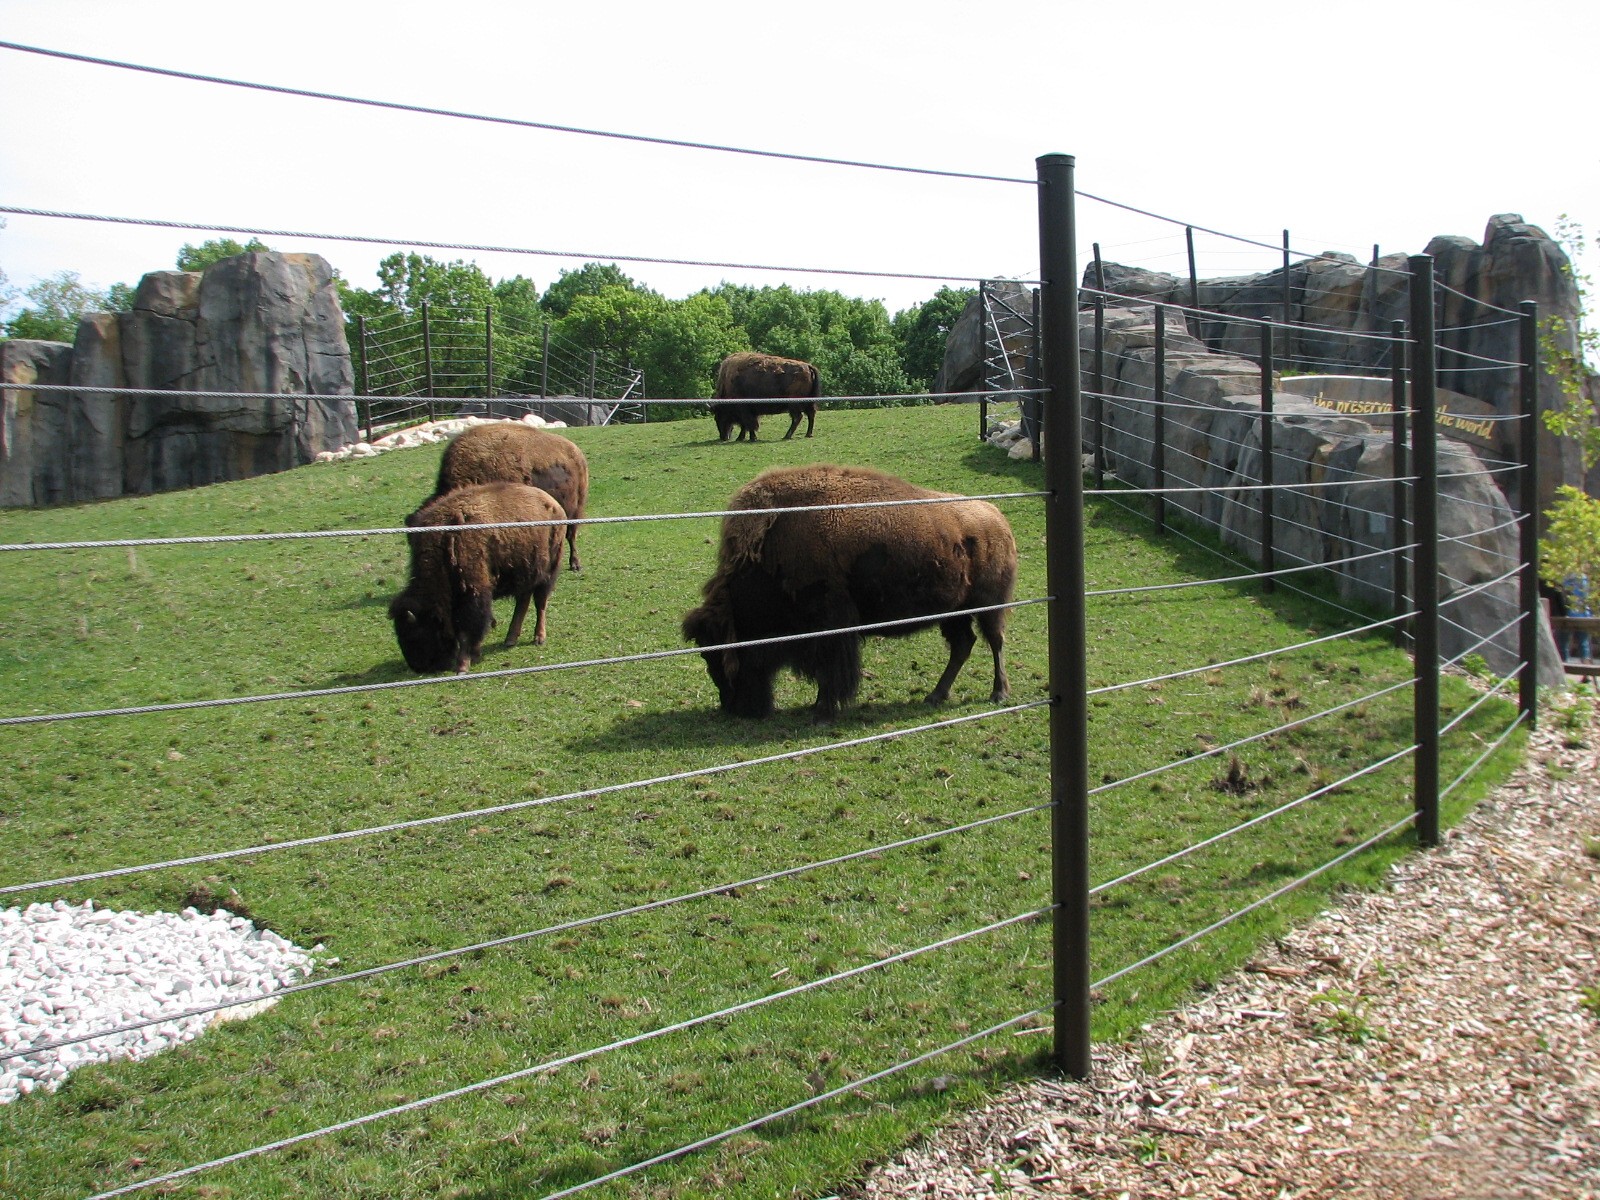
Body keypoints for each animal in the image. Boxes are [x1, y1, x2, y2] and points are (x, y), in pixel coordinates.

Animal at [390, 482, 565, 675]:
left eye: (416, 634)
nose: (418, 667)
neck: (444, 544)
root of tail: (553, 504)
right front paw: (474, 655)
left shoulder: (473, 593)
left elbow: (466, 630)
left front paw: (462, 666)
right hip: (525, 573)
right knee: (523, 602)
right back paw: (510, 639)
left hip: (547, 572)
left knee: (540, 603)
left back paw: (538, 638)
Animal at [681, 464, 1016, 718]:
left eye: (716, 654)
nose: (733, 707)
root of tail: (997, 518)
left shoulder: (831, 625)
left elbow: (831, 669)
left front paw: (822, 708)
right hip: (954, 611)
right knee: (963, 644)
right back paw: (935, 695)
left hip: (988, 605)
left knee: (995, 641)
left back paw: (998, 693)